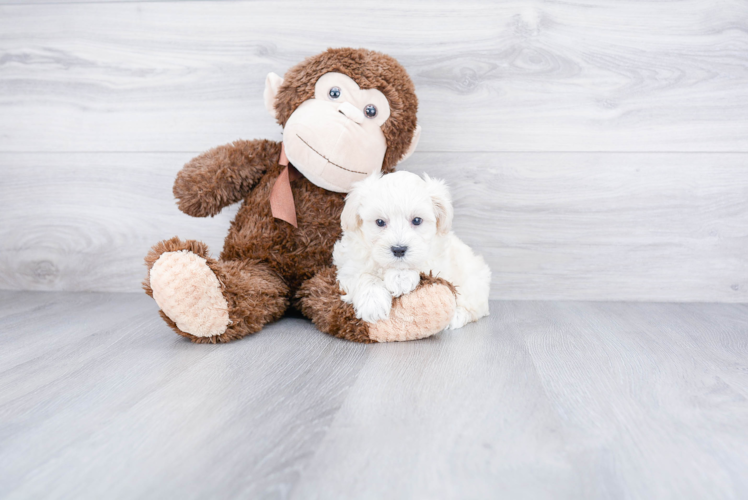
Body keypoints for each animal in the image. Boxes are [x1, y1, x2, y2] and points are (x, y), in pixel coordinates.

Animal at [334, 170, 490, 330]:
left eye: (416, 220)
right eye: (380, 222)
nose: (399, 250)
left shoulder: (436, 259)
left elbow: (420, 264)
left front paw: (400, 277)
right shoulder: (349, 264)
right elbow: (364, 275)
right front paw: (373, 302)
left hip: (474, 281)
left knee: (476, 307)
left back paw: (457, 316)